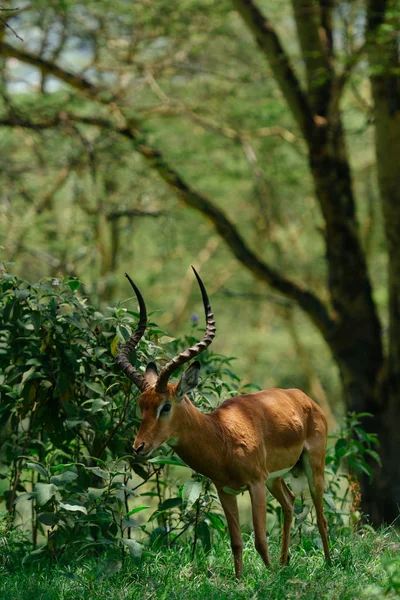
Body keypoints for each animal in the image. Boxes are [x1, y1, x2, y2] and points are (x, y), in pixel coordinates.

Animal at [116, 268, 332, 576]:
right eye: (141, 406)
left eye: (165, 406)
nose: (139, 447)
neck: (221, 435)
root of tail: (304, 398)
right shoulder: (226, 490)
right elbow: (236, 543)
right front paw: (242, 580)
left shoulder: (254, 484)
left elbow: (260, 539)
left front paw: (267, 579)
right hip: (275, 479)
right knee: (290, 504)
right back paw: (284, 564)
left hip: (312, 467)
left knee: (321, 516)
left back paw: (328, 563)